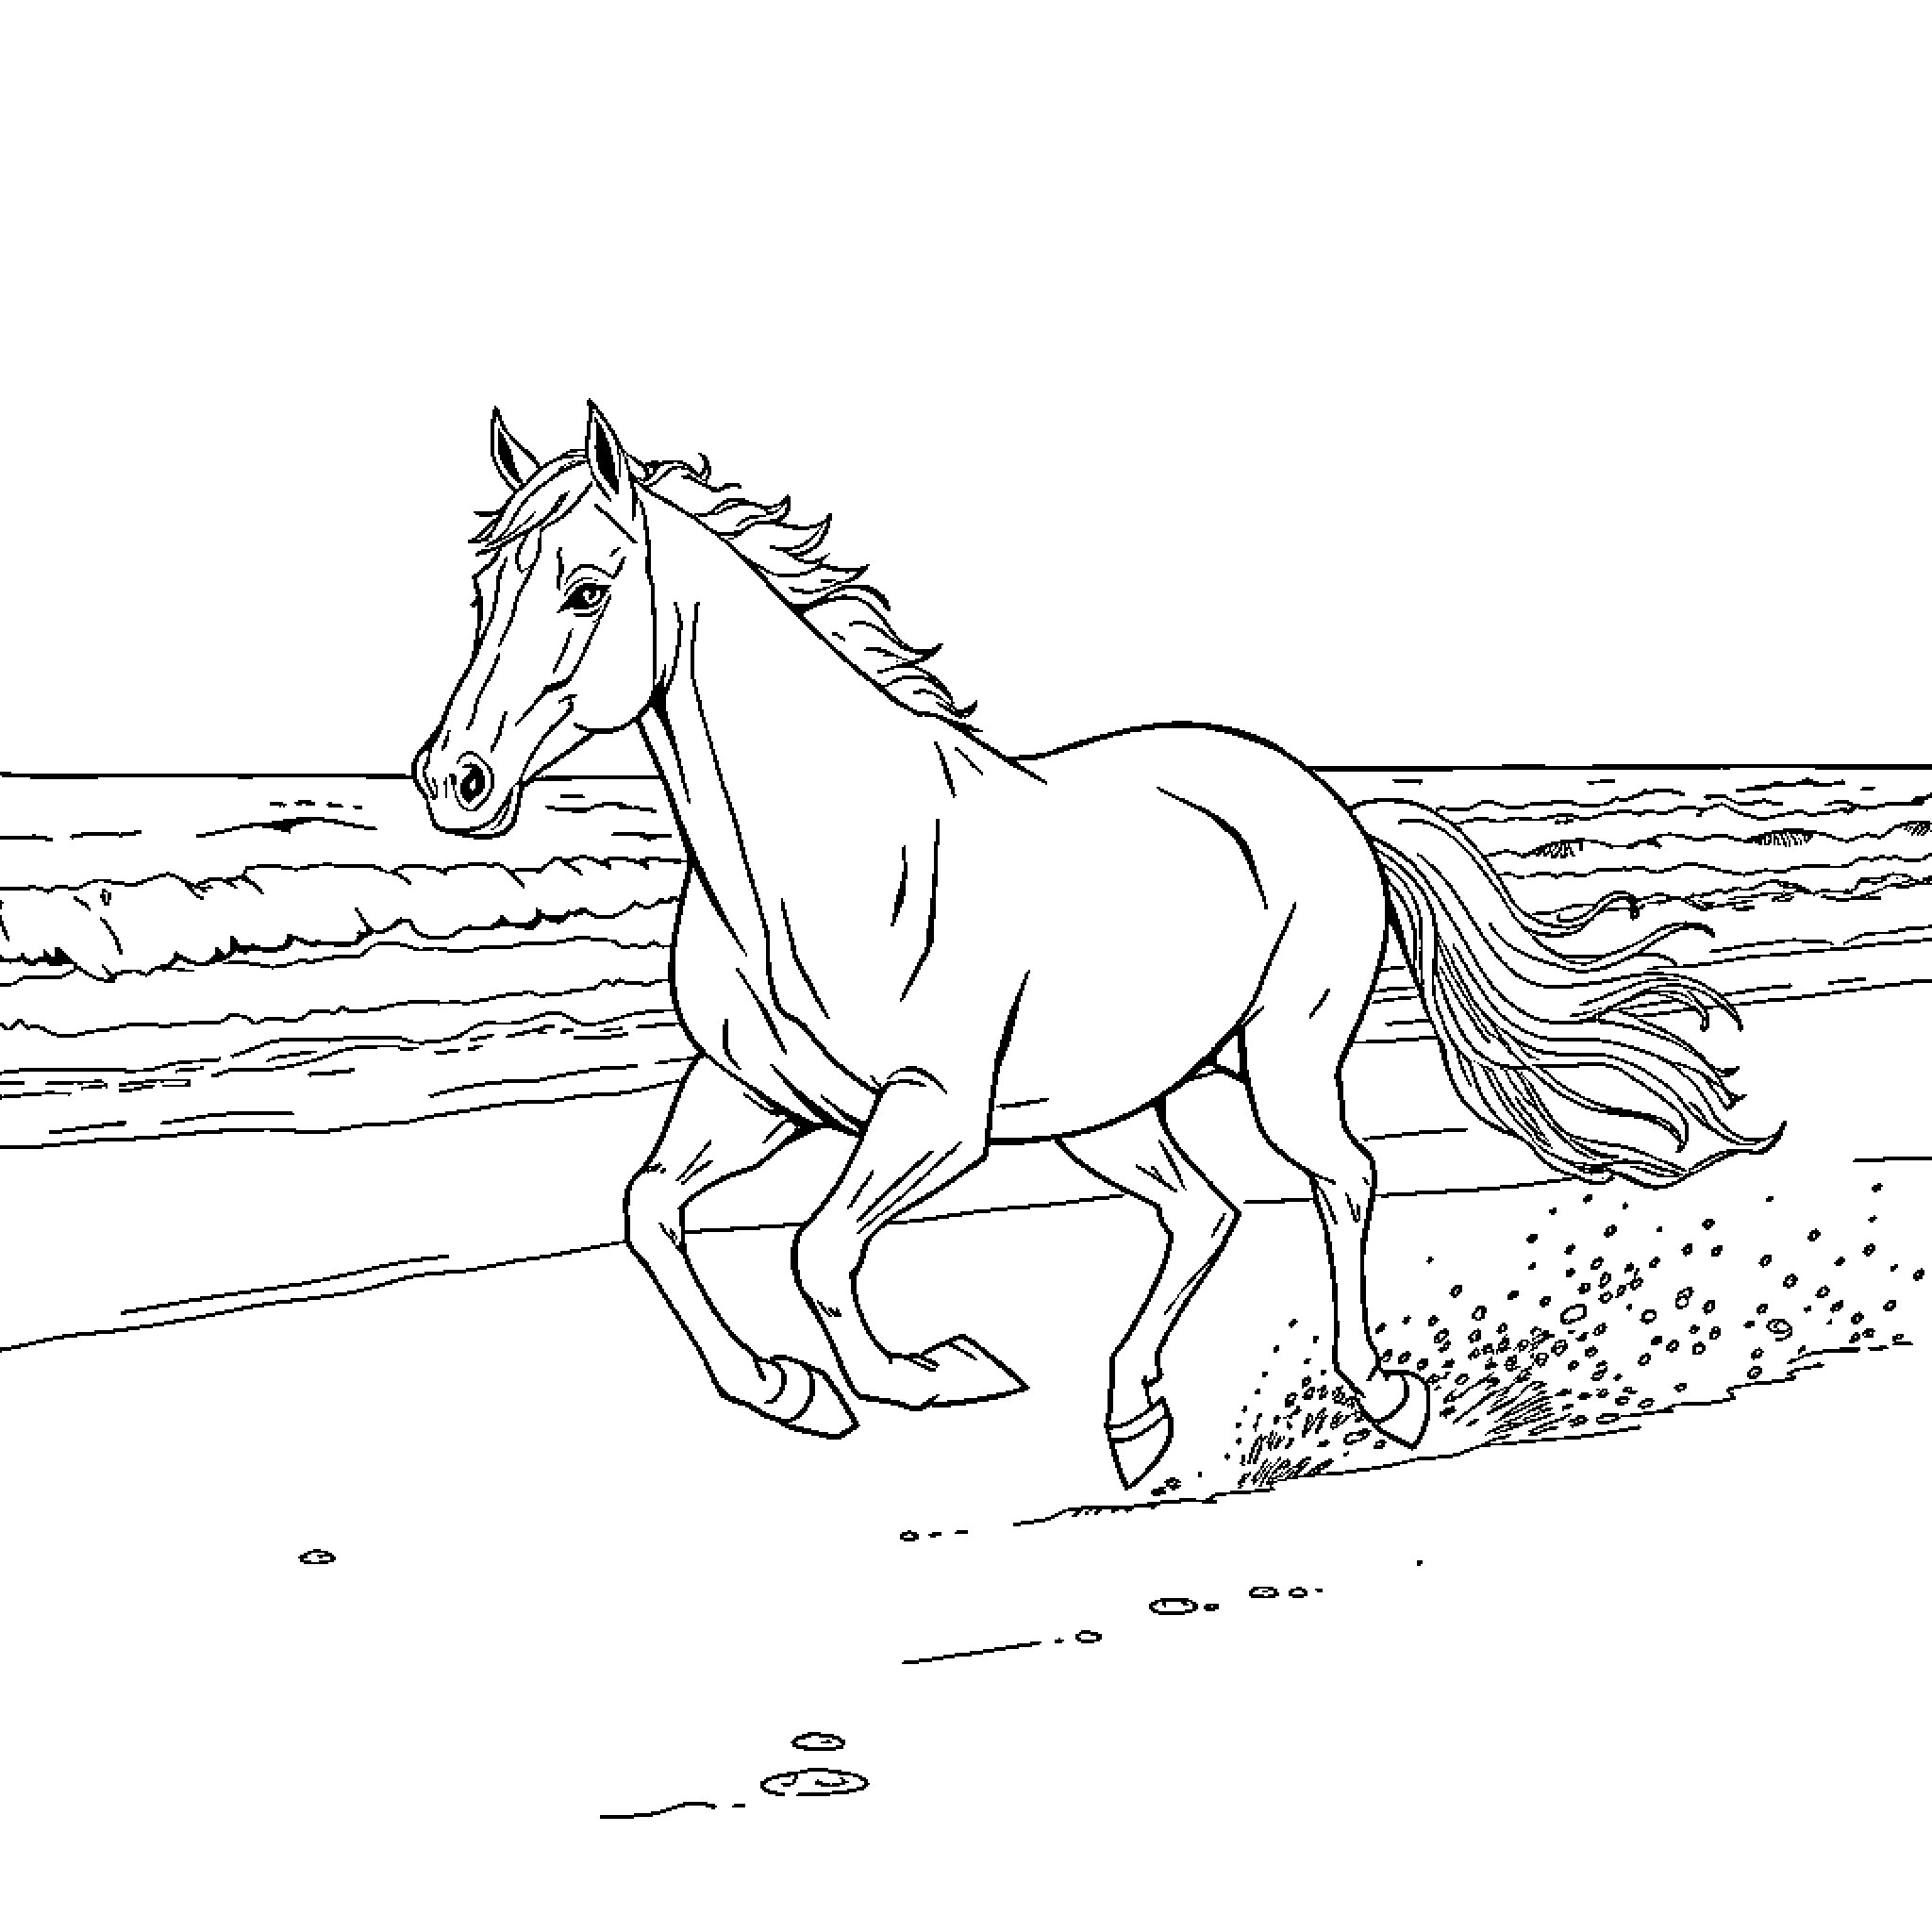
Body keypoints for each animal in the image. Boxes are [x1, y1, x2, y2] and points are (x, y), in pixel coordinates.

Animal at [414, 401, 1779, 1489]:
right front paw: (787, 1391)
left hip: (1283, 1064)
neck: (821, 856)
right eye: (481, 595)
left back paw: (1382, 1396)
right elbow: (649, 1209)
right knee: (1204, 1211)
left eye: (586, 589)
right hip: (1104, 1108)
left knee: (1340, 1181)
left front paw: (929, 1371)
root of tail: (1331, 802)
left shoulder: (935, 1115)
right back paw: (1132, 1418)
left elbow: (817, 1246)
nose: (454, 781)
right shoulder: (752, 1093)